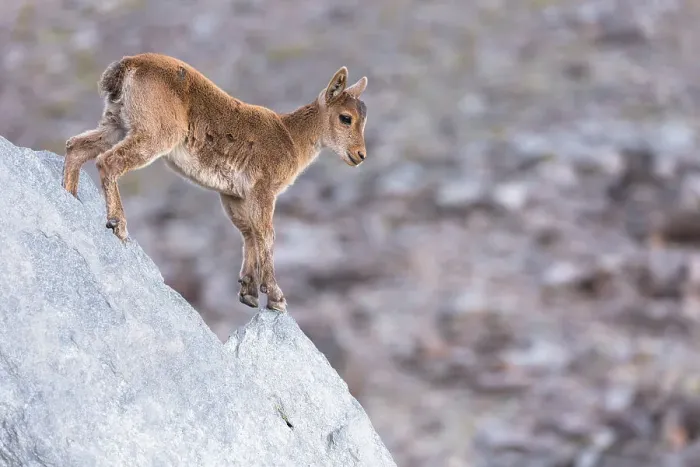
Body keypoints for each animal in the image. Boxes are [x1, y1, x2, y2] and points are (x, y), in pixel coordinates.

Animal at [62, 53, 369, 313]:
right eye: (346, 118)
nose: (360, 155)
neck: (291, 138)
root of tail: (129, 65)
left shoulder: (234, 195)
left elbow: (249, 233)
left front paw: (248, 292)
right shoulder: (263, 190)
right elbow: (266, 235)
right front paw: (276, 298)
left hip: (116, 124)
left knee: (76, 147)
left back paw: (68, 197)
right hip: (155, 133)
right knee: (109, 161)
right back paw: (118, 224)